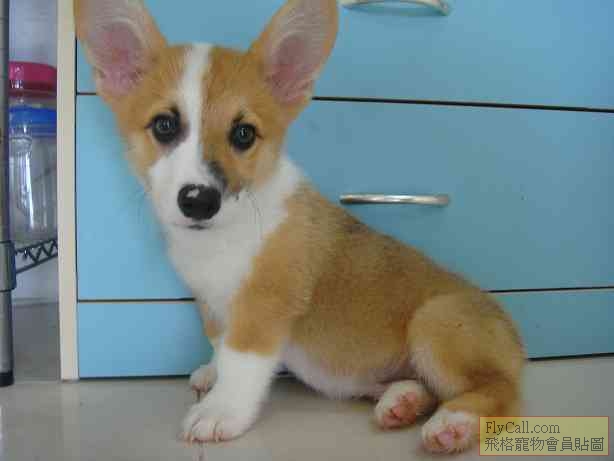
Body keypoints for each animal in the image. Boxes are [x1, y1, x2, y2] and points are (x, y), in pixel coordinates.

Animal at [75, 0, 525, 453]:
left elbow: (240, 363)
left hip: (434, 322)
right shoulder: (211, 303)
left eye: (244, 133)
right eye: (165, 125)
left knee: (502, 392)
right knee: (424, 386)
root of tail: (515, 339)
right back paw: (403, 402)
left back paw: (454, 424)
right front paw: (211, 373)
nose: (199, 201)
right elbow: (220, 346)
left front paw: (221, 411)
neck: (225, 234)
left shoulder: (263, 306)